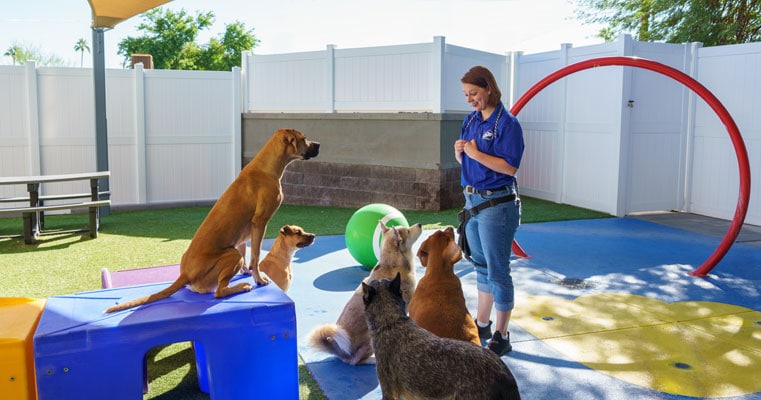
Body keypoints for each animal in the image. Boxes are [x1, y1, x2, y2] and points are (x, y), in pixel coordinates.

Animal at [104, 130, 318, 314]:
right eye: (304, 138)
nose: (319, 144)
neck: (266, 167)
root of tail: (186, 274)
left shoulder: (245, 233)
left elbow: (246, 250)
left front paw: (246, 272)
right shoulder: (260, 222)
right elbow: (255, 255)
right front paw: (258, 278)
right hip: (231, 255)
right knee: (219, 291)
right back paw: (241, 287)